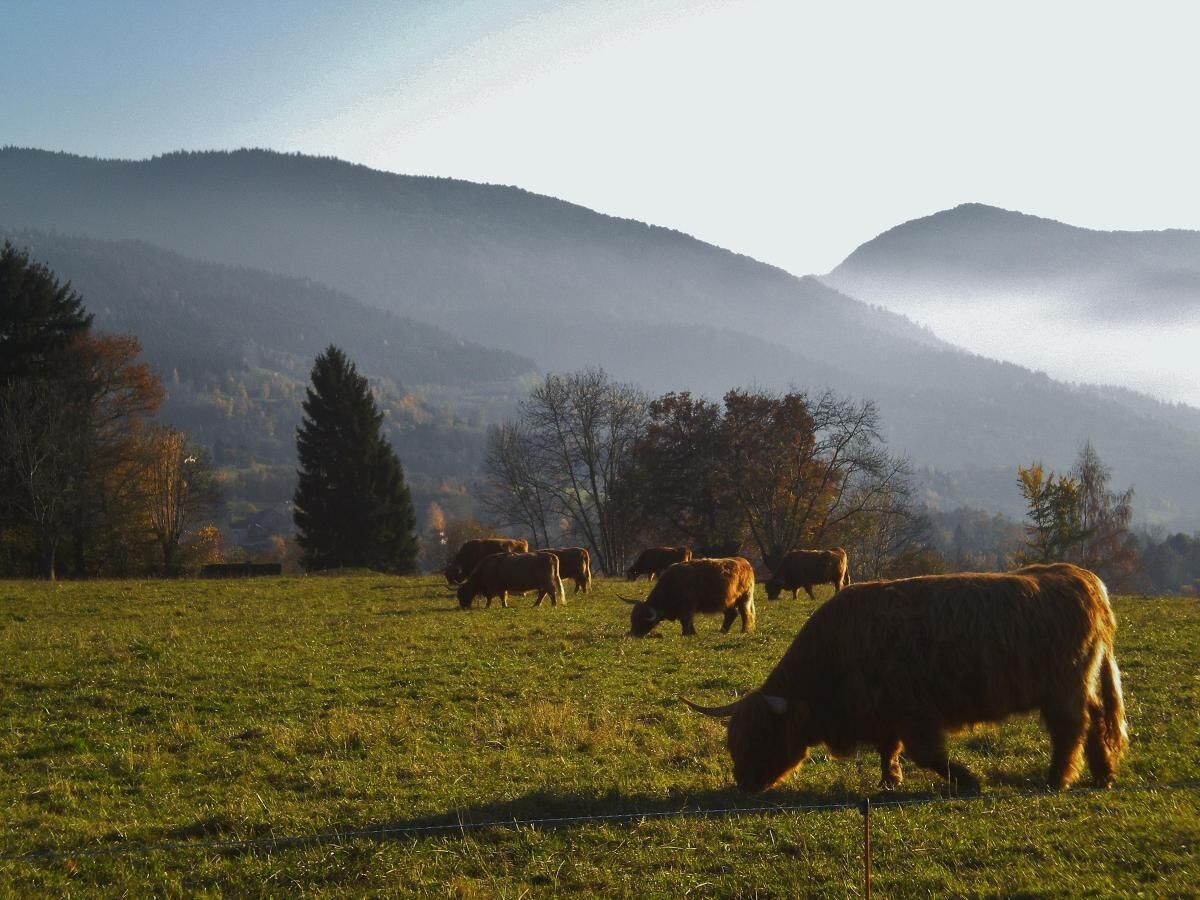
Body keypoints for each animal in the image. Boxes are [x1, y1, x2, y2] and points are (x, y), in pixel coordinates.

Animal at [623, 557, 756, 637]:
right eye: (632, 618)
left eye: (641, 619)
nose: (632, 634)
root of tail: (744, 561)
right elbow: (688, 621)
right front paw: (692, 633)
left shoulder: (688, 606)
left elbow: (686, 620)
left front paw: (686, 633)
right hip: (728, 602)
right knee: (731, 614)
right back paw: (722, 631)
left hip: (744, 598)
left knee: (745, 615)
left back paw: (744, 631)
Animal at [683, 564, 1127, 795]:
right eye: (734, 741)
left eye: (762, 736)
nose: (743, 784)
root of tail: (1077, 576)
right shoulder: (886, 715)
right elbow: (889, 749)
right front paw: (889, 780)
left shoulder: (914, 714)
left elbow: (925, 754)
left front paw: (968, 780)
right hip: (1079, 683)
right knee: (1096, 719)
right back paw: (1103, 774)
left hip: (1064, 688)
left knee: (1072, 728)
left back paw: (1057, 780)